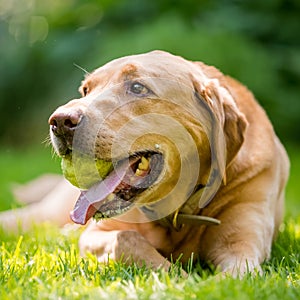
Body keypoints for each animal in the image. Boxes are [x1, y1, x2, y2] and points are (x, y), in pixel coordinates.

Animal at [0, 51, 290, 276]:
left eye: (138, 88)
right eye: (85, 90)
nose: (59, 121)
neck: (179, 210)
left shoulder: (241, 243)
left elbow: (238, 273)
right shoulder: (96, 234)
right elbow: (127, 239)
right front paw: (179, 278)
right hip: (41, 216)